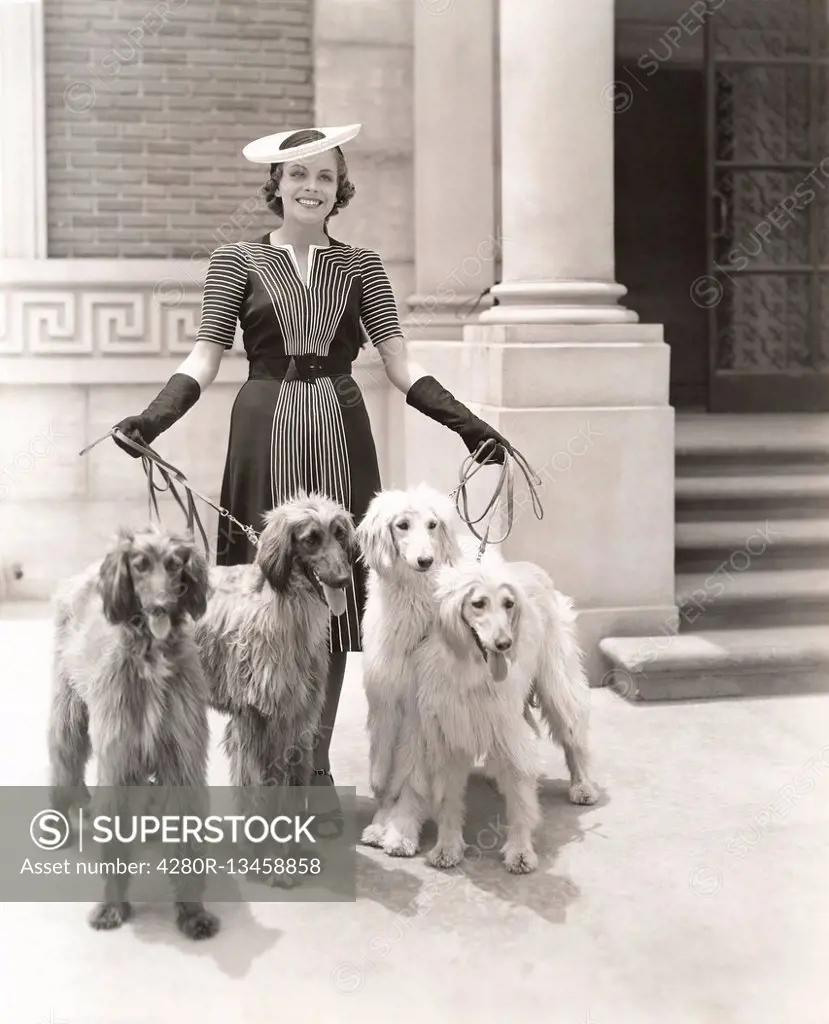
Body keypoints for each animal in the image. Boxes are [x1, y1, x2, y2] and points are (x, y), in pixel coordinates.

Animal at [47, 528, 217, 937]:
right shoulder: (119, 760)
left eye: (174, 564)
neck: (150, 656)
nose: (159, 606)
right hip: (69, 710)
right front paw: (112, 906)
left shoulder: (181, 759)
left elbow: (186, 838)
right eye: (139, 565)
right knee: (64, 763)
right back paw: (57, 820)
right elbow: (115, 839)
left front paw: (192, 912)